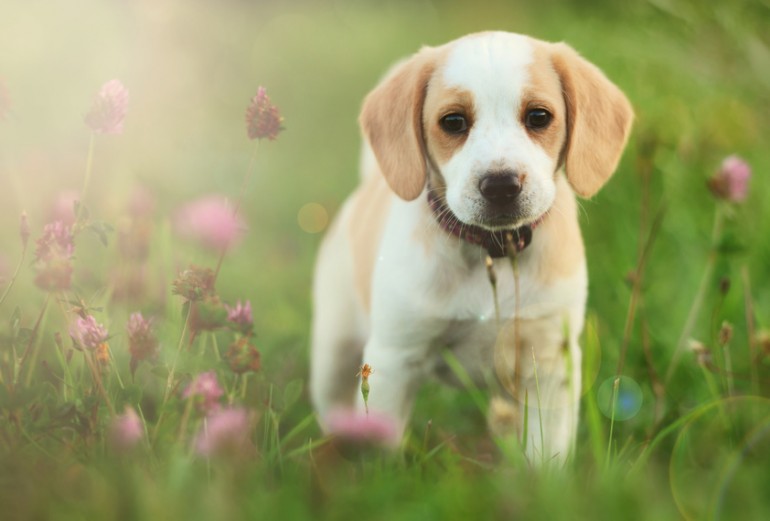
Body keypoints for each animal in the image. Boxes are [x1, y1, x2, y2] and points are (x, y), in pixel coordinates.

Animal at [308, 31, 632, 464]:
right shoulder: (394, 359)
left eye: (539, 117)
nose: (501, 185)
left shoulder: (549, 363)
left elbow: (545, 455)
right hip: (334, 350)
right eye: (453, 122)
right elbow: (383, 447)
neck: (490, 252)